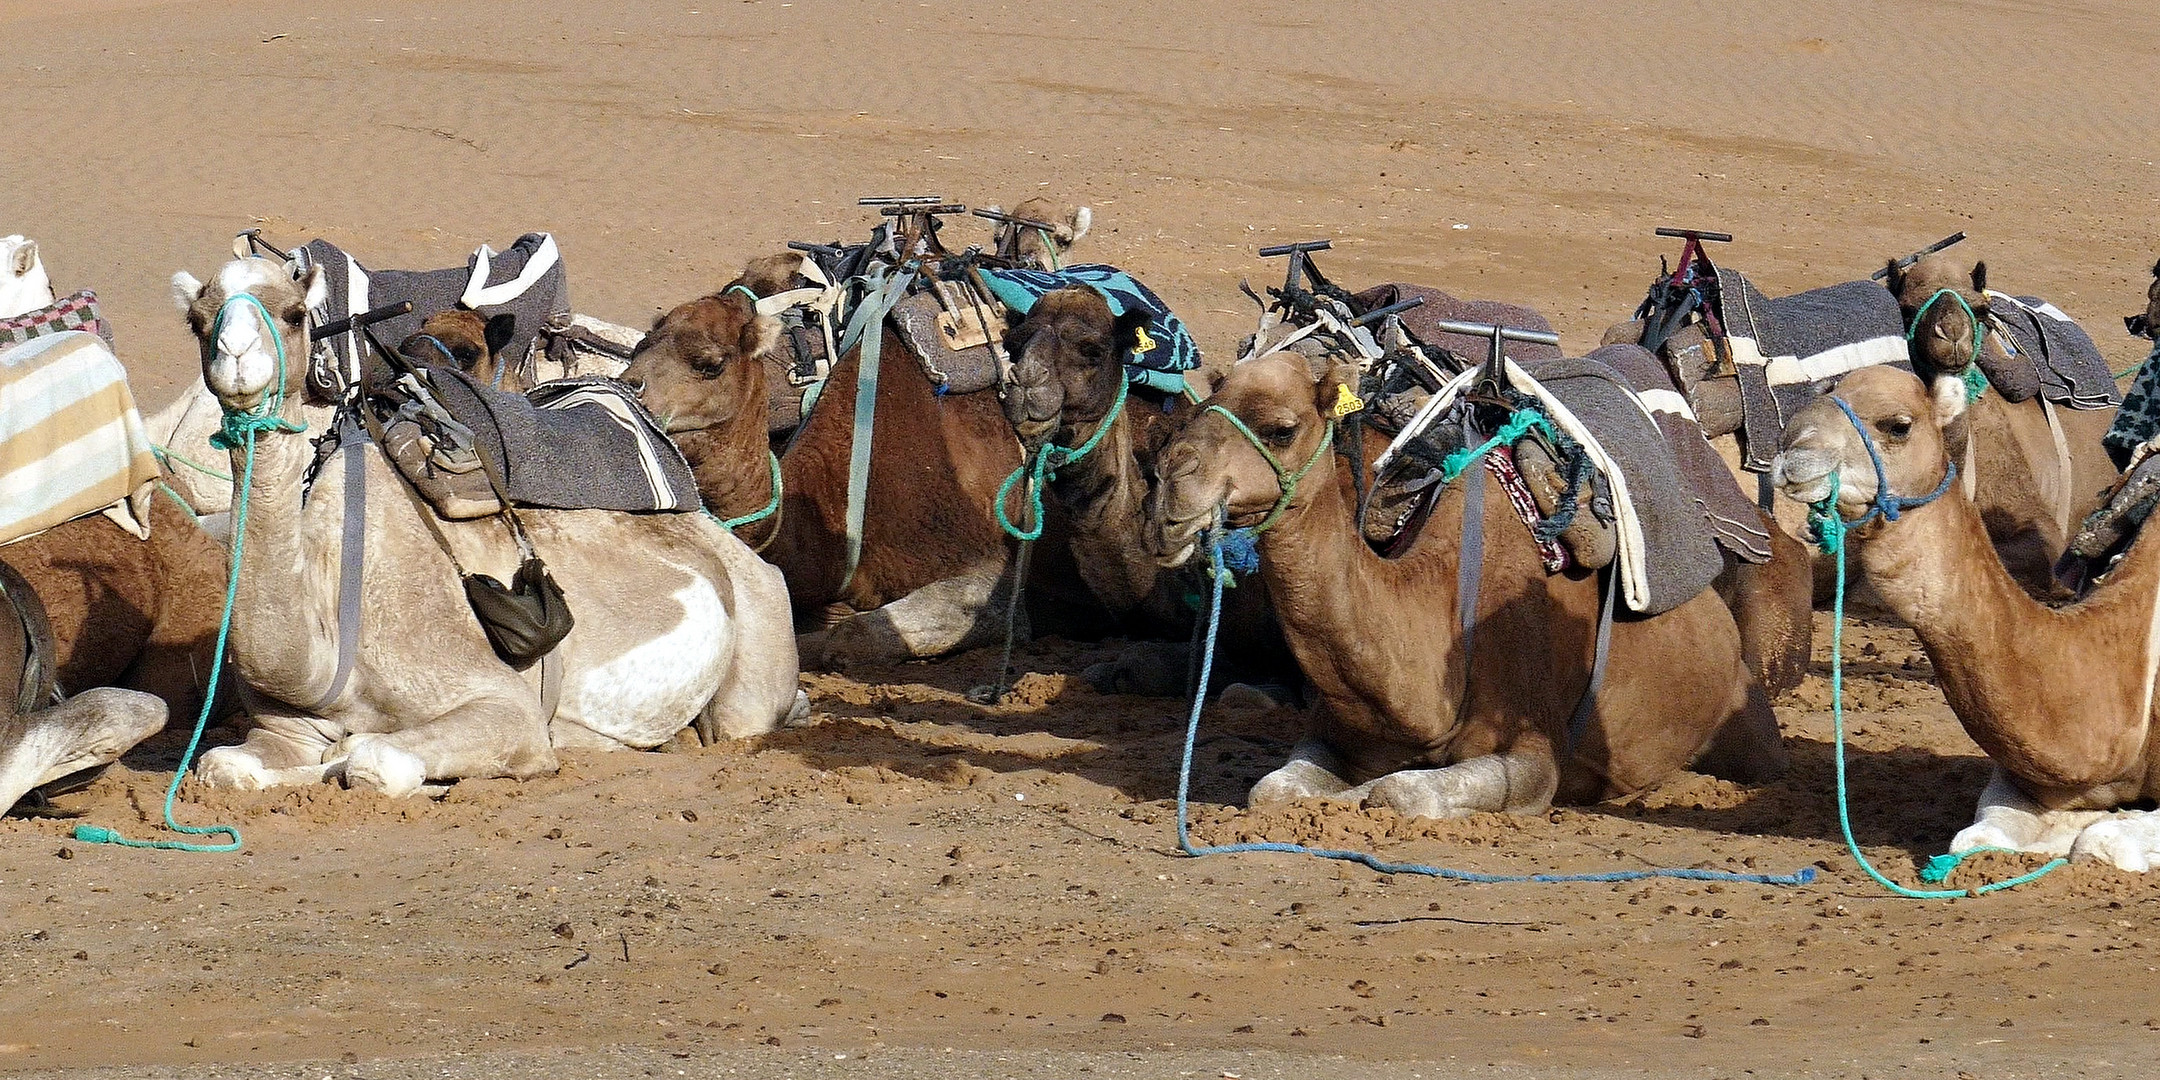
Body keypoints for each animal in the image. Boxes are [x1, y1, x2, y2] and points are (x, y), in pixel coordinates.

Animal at [164, 252, 799, 794]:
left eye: (295, 314)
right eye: (197, 322)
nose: (237, 356)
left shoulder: (500, 702)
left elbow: (372, 760)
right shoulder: (284, 727)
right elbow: (221, 767)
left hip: (758, 635)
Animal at [1149, 349, 1788, 812]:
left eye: (1281, 429)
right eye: (1204, 407)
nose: (1169, 489)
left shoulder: (1532, 750)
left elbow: (1397, 792)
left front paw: (1371, 791)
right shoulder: (1337, 730)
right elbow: (1271, 790)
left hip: (1747, 718)